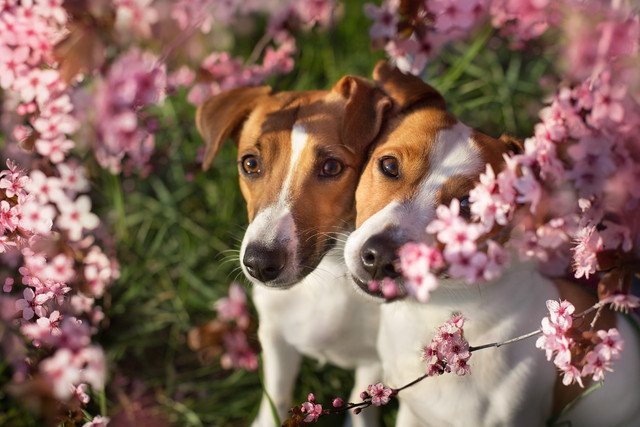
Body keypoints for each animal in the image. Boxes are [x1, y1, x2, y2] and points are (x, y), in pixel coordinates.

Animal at [198, 77, 392, 427]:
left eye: (331, 166)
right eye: (250, 163)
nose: (260, 263)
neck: (327, 278)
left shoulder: (375, 360)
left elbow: (363, 408)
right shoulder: (276, 339)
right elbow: (276, 396)